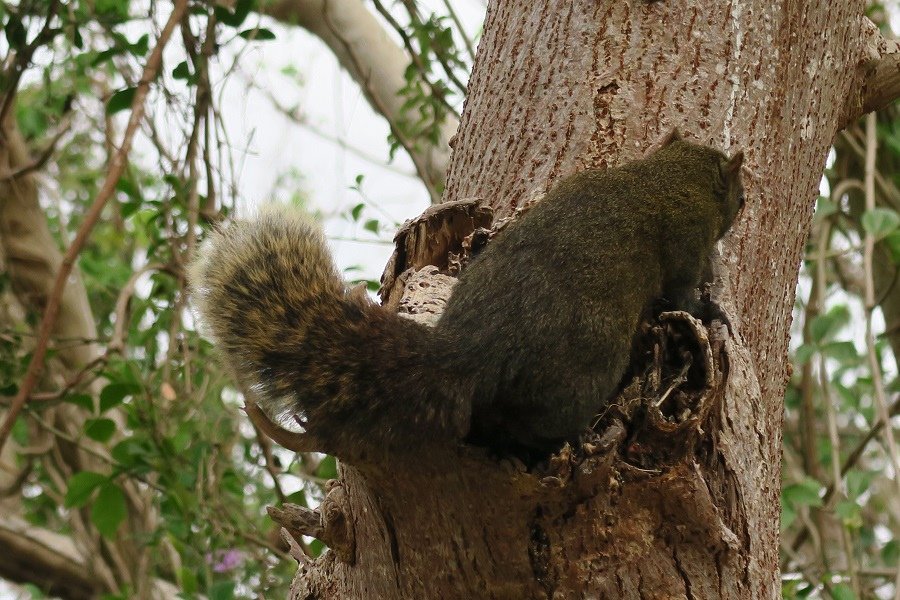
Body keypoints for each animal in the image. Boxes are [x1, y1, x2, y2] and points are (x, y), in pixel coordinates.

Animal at [190, 131, 744, 458]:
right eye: (739, 197)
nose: (744, 205)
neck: (664, 178)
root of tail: (468, 353)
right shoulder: (685, 245)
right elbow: (682, 295)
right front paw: (710, 306)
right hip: (582, 373)